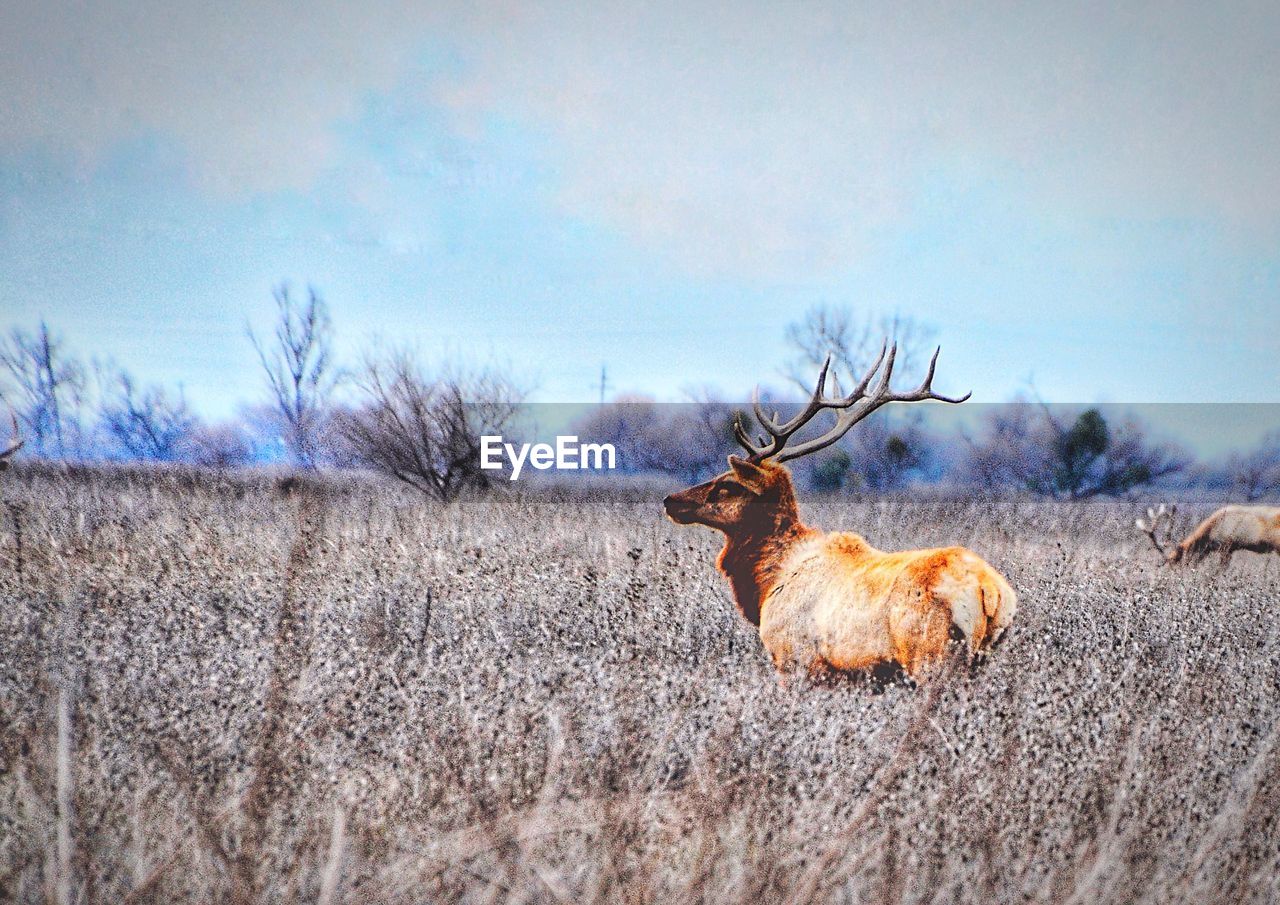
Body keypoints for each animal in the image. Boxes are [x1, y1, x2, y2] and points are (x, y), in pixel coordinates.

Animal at [665, 343, 1013, 680]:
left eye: (728, 484)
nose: (671, 500)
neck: (768, 582)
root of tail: (991, 592)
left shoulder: (796, 660)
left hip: (928, 656)